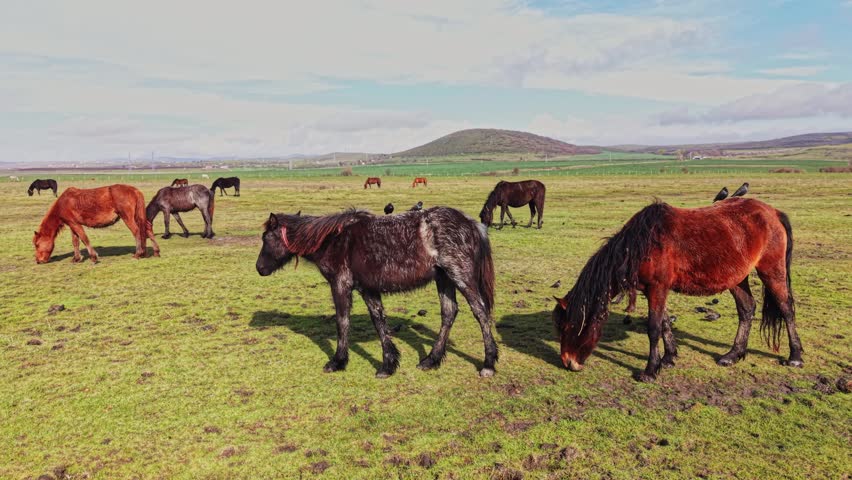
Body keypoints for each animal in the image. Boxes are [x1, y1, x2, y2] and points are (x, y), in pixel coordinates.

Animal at [256, 207, 498, 378]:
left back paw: (488, 364)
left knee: (480, 312)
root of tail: (471, 223)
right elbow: (379, 321)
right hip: (444, 278)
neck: (333, 240)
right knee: (449, 313)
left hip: (460, 277)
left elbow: (342, 322)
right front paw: (388, 364)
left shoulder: (340, 285)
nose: (259, 268)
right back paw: (431, 360)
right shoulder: (368, 289)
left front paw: (337, 361)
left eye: (265, 238)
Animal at [553, 198, 802, 382]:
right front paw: (668, 358)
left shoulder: (657, 288)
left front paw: (650, 370)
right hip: (737, 278)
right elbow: (664, 323)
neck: (641, 244)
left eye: (569, 326)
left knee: (786, 309)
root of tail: (773, 213)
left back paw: (795, 356)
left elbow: (653, 328)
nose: (567, 361)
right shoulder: (653, 290)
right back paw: (733, 355)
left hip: (771, 271)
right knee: (747, 309)